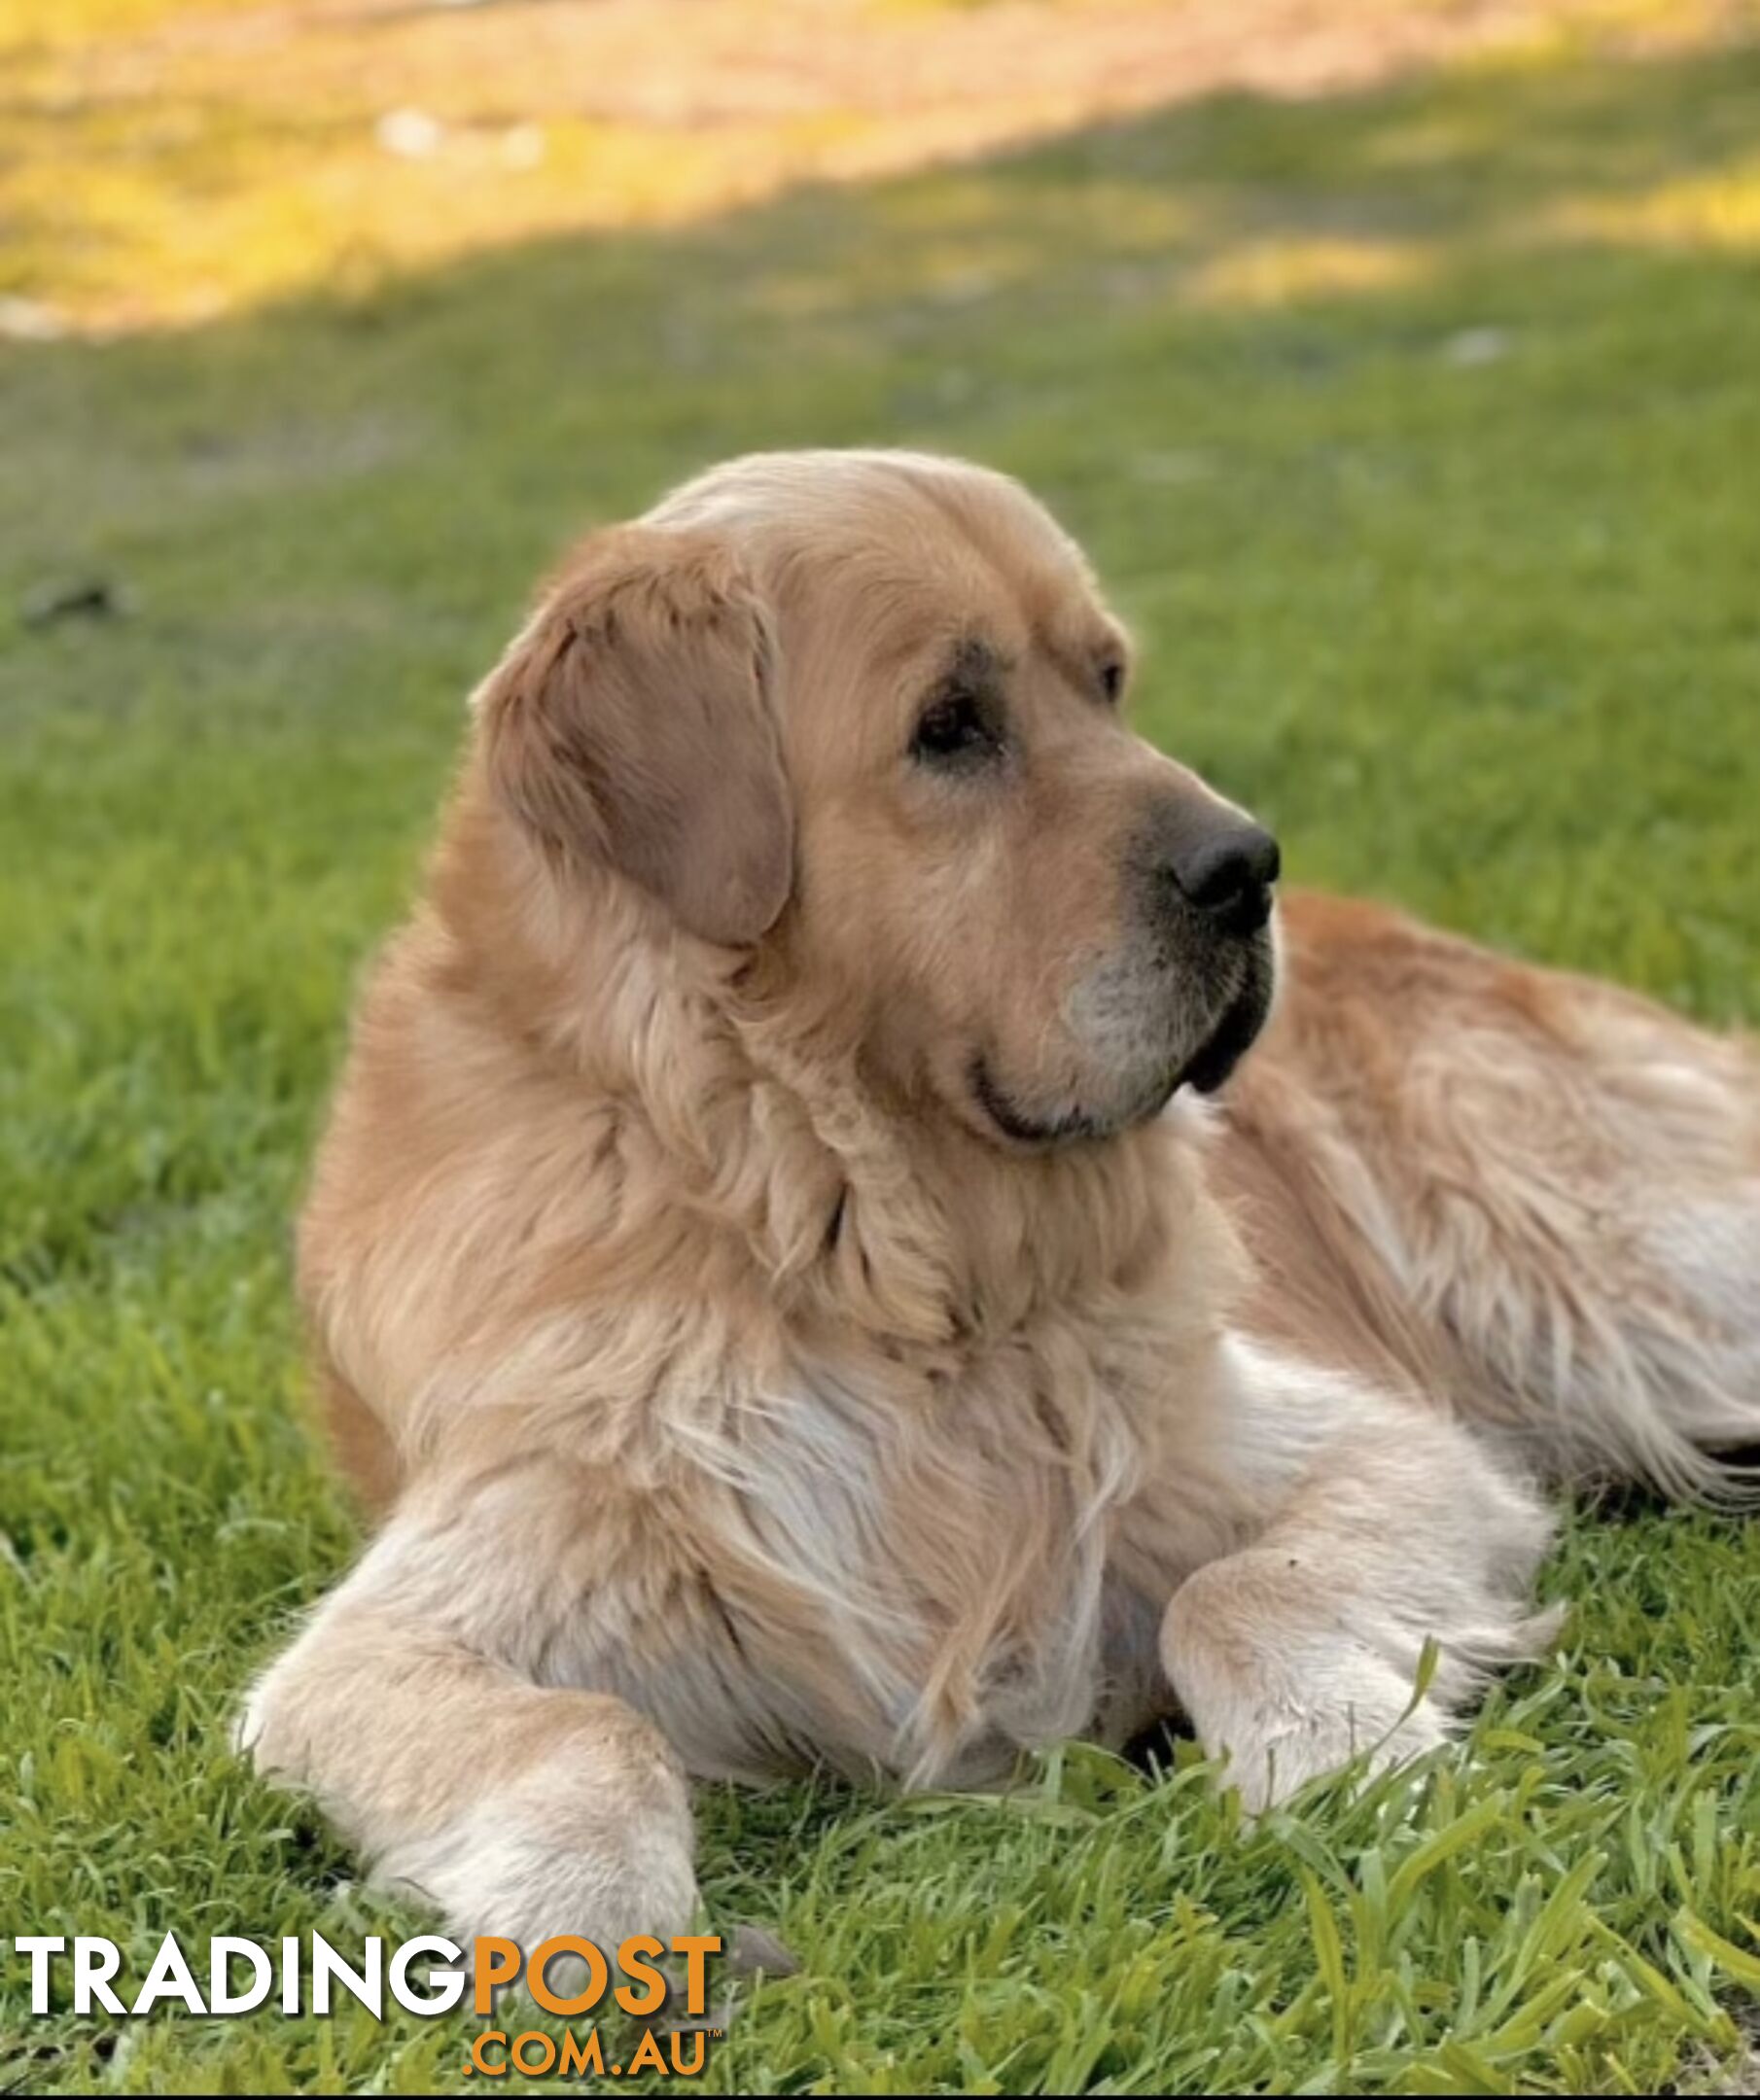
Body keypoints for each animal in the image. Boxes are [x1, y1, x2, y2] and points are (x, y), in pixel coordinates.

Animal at [241, 447, 1755, 1948]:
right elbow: (586, 1731)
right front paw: (584, 1925)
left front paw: (1341, 1757)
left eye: (1108, 681)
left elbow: (1229, 1589)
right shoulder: (411, 1620)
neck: (868, 1249)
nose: (1249, 867)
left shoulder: (1384, 1454)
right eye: (949, 727)